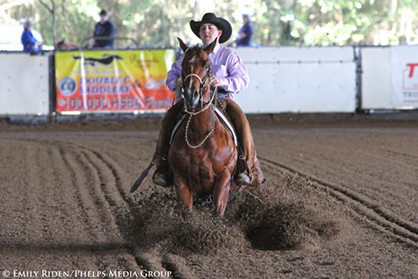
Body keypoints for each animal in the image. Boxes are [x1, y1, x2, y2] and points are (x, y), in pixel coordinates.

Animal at [168, 38, 237, 219]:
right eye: (183, 64)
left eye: (207, 65)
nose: (192, 95)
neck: (200, 136)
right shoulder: (180, 178)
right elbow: (187, 212)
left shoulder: (224, 177)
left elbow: (217, 212)